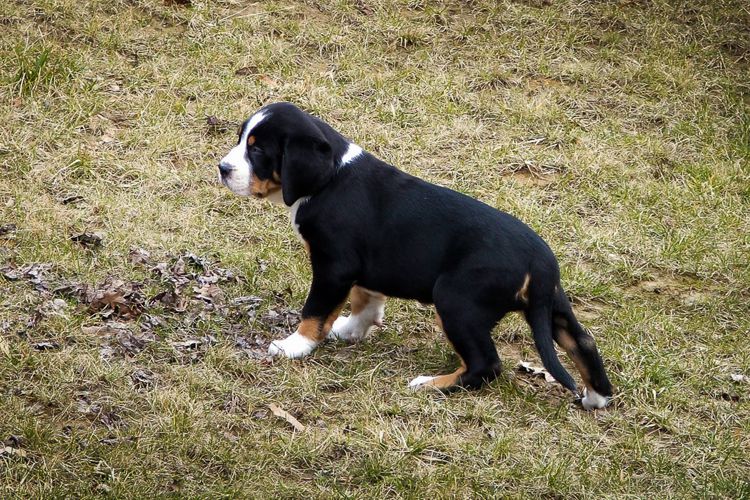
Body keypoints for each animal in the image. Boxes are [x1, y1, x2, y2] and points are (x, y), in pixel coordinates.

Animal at [214, 102, 612, 410]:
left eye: (258, 151)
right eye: (241, 140)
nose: (223, 168)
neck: (330, 179)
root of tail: (539, 261)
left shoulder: (333, 266)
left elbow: (315, 311)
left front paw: (294, 345)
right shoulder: (363, 267)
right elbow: (365, 299)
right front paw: (352, 328)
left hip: (456, 301)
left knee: (487, 365)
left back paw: (431, 384)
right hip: (553, 304)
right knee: (583, 341)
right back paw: (597, 397)